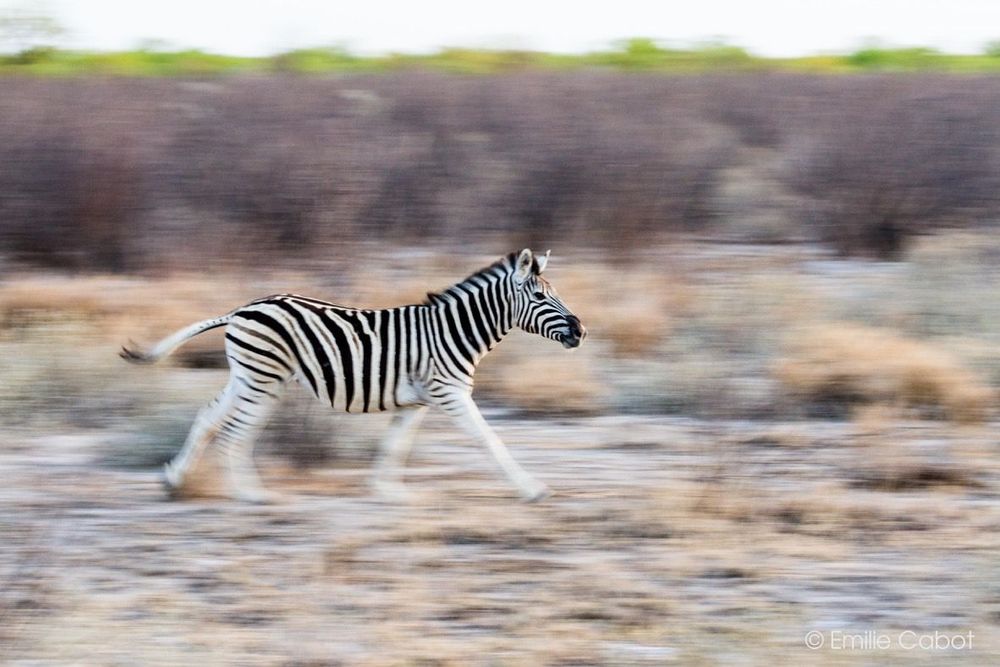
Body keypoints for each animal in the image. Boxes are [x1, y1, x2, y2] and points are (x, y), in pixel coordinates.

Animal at [121, 249, 586, 503]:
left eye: (556, 294)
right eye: (541, 297)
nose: (581, 331)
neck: (454, 329)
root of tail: (238, 310)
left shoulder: (419, 399)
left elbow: (396, 445)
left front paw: (387, 491)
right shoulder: (449, 392)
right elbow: (489, 439)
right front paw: (530, 488)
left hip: (247, 377)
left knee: (208, 417)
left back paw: (173, 478)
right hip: (263, 380)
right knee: (235, 433)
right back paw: (250, 494)